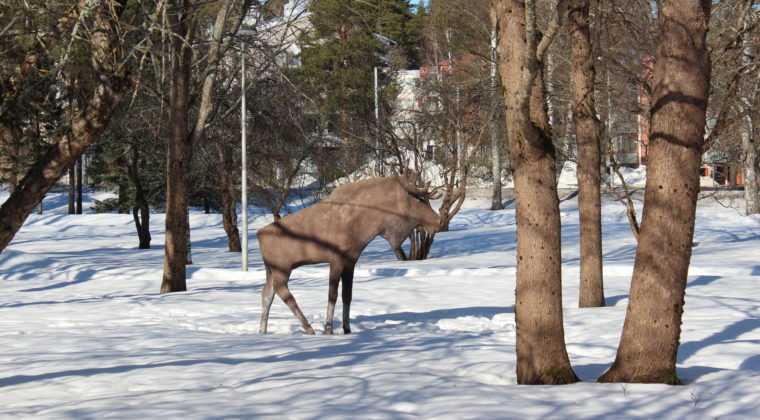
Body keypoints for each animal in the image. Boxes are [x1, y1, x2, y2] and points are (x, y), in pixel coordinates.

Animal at [258, 171, 442, 334]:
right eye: (419, 200)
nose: (439, 221)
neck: (369, 224)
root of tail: (259, 234)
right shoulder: (336, 259)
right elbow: (332, 295)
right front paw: (329, 329)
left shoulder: (351, 261)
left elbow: (347, 295)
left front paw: (347, 328)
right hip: (282, 268)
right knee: (282, 292)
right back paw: (309, 328)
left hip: (270, 270)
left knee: (267, 295)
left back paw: (262, 331)